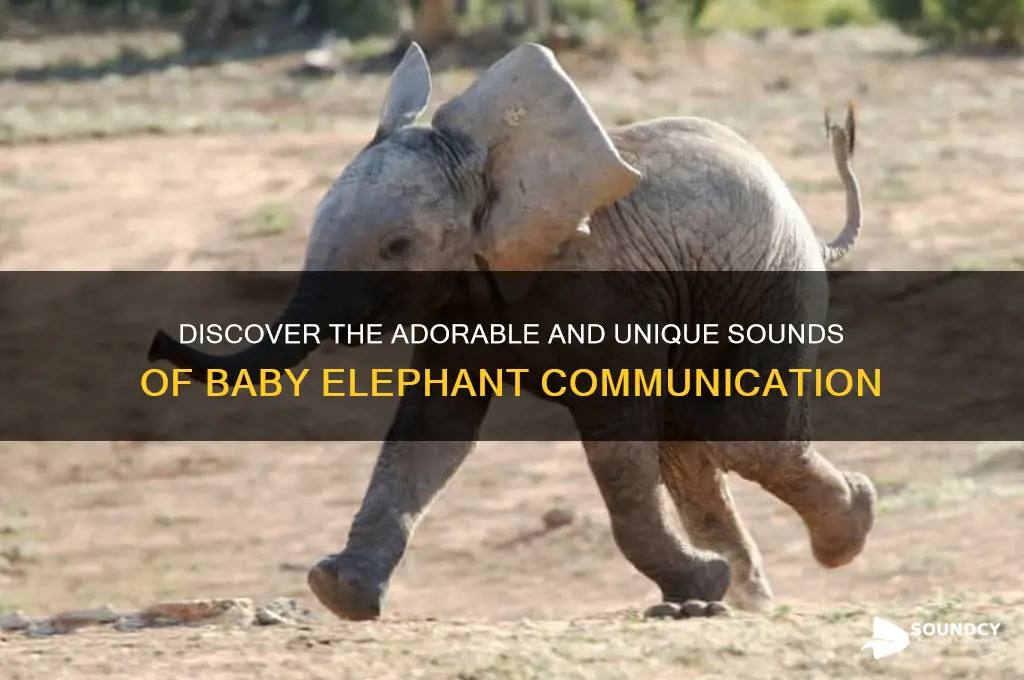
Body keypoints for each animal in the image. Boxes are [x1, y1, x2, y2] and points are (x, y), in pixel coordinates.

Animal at [148, 41, 877, 620]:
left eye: (397, 246)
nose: (157, 341)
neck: (487, 169)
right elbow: (430, 432)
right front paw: (338, 593)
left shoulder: (594, 289)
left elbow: (616, 440)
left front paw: (703, 583)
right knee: (693, 445)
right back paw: (744, 598)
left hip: (767, 276)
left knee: (739, 433)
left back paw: (844, 531)